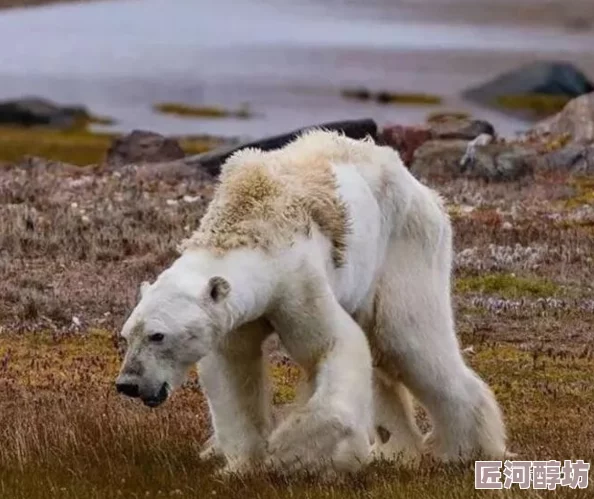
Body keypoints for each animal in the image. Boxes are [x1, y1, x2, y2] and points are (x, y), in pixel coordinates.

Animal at [114, 131, 504, 474]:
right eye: (127, 334)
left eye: (158, 335)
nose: (128, 384)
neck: (249, 222)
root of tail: (425, 191)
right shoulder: (235, 317)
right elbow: (233, 372)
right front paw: (241, 465)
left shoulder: (296, 281)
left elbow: (332, 346)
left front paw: (288, 451)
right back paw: (395, 449)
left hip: (404, 247)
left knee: (408, 339)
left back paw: (462, 449)